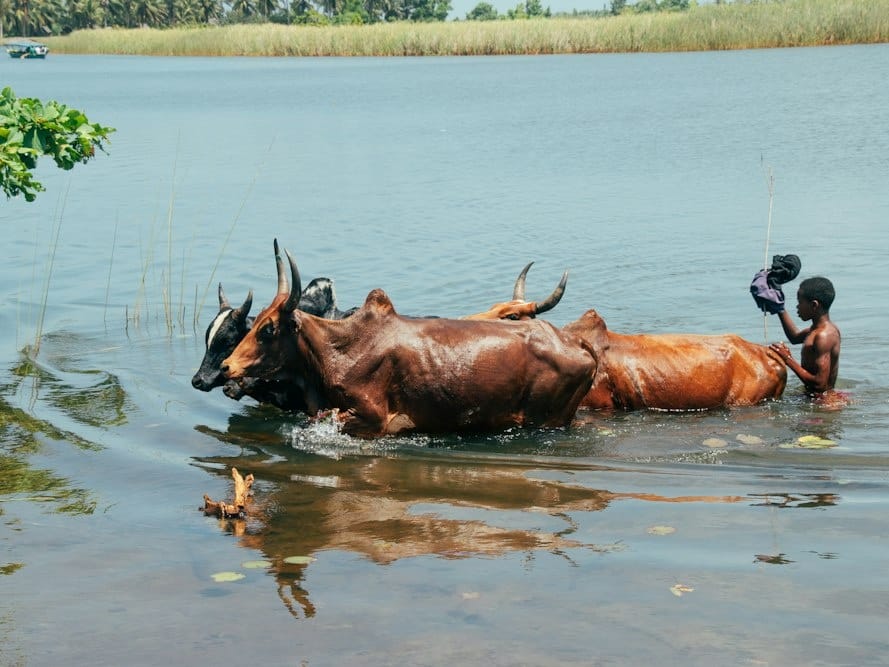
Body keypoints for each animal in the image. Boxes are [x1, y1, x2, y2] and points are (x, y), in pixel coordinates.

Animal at [221, 250, 598, 438]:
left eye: (268, 329)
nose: (226, 367)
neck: (334, 350)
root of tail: (579, 345)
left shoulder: (374, 419)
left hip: (545, 419)